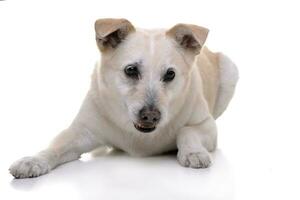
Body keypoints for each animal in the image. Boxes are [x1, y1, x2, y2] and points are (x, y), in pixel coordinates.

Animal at [9, 18, 239, 178]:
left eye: (170, 74)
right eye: (130, 70)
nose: (151, 116)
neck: (139, 137)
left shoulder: (207, 126)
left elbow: (187, 131)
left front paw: (193, 153)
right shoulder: (81, 131)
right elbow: (55, 147)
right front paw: (32, 160)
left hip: (230, 70)